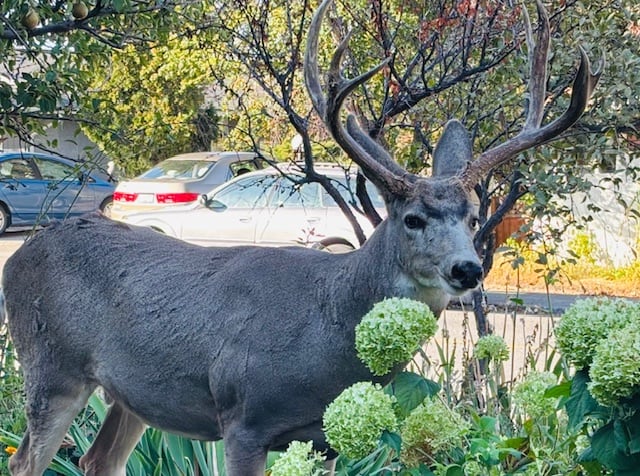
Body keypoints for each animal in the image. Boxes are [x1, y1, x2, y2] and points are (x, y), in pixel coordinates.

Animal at [3, 0, 600, 475]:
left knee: (95, 459)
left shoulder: (330, 436)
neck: (327, 322)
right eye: (412, 219)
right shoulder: (242, 418)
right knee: (25, 461)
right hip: (51, 365)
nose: (468, 269)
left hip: (132, 394)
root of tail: (18, 255)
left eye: (475, 217)